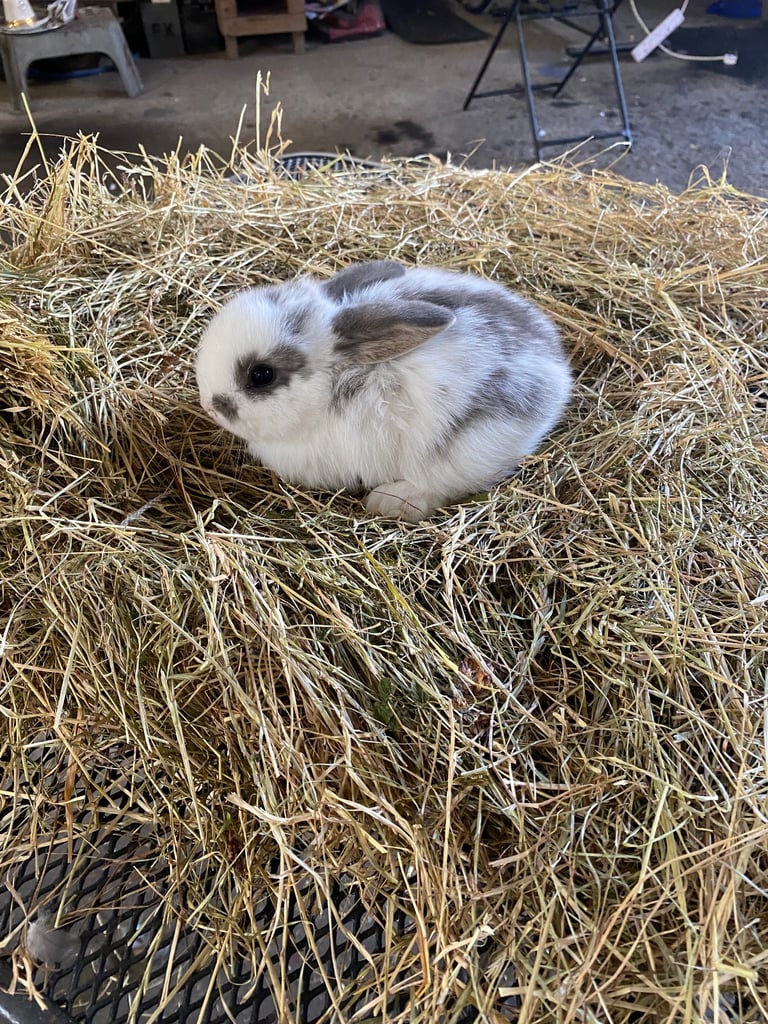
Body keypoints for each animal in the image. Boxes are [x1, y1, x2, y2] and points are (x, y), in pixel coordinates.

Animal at [196, 260, 572, 522]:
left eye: (261, 375)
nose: (209, 404)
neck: (329, 388)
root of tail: (558, 375)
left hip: (464, 453)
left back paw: (389, 501)